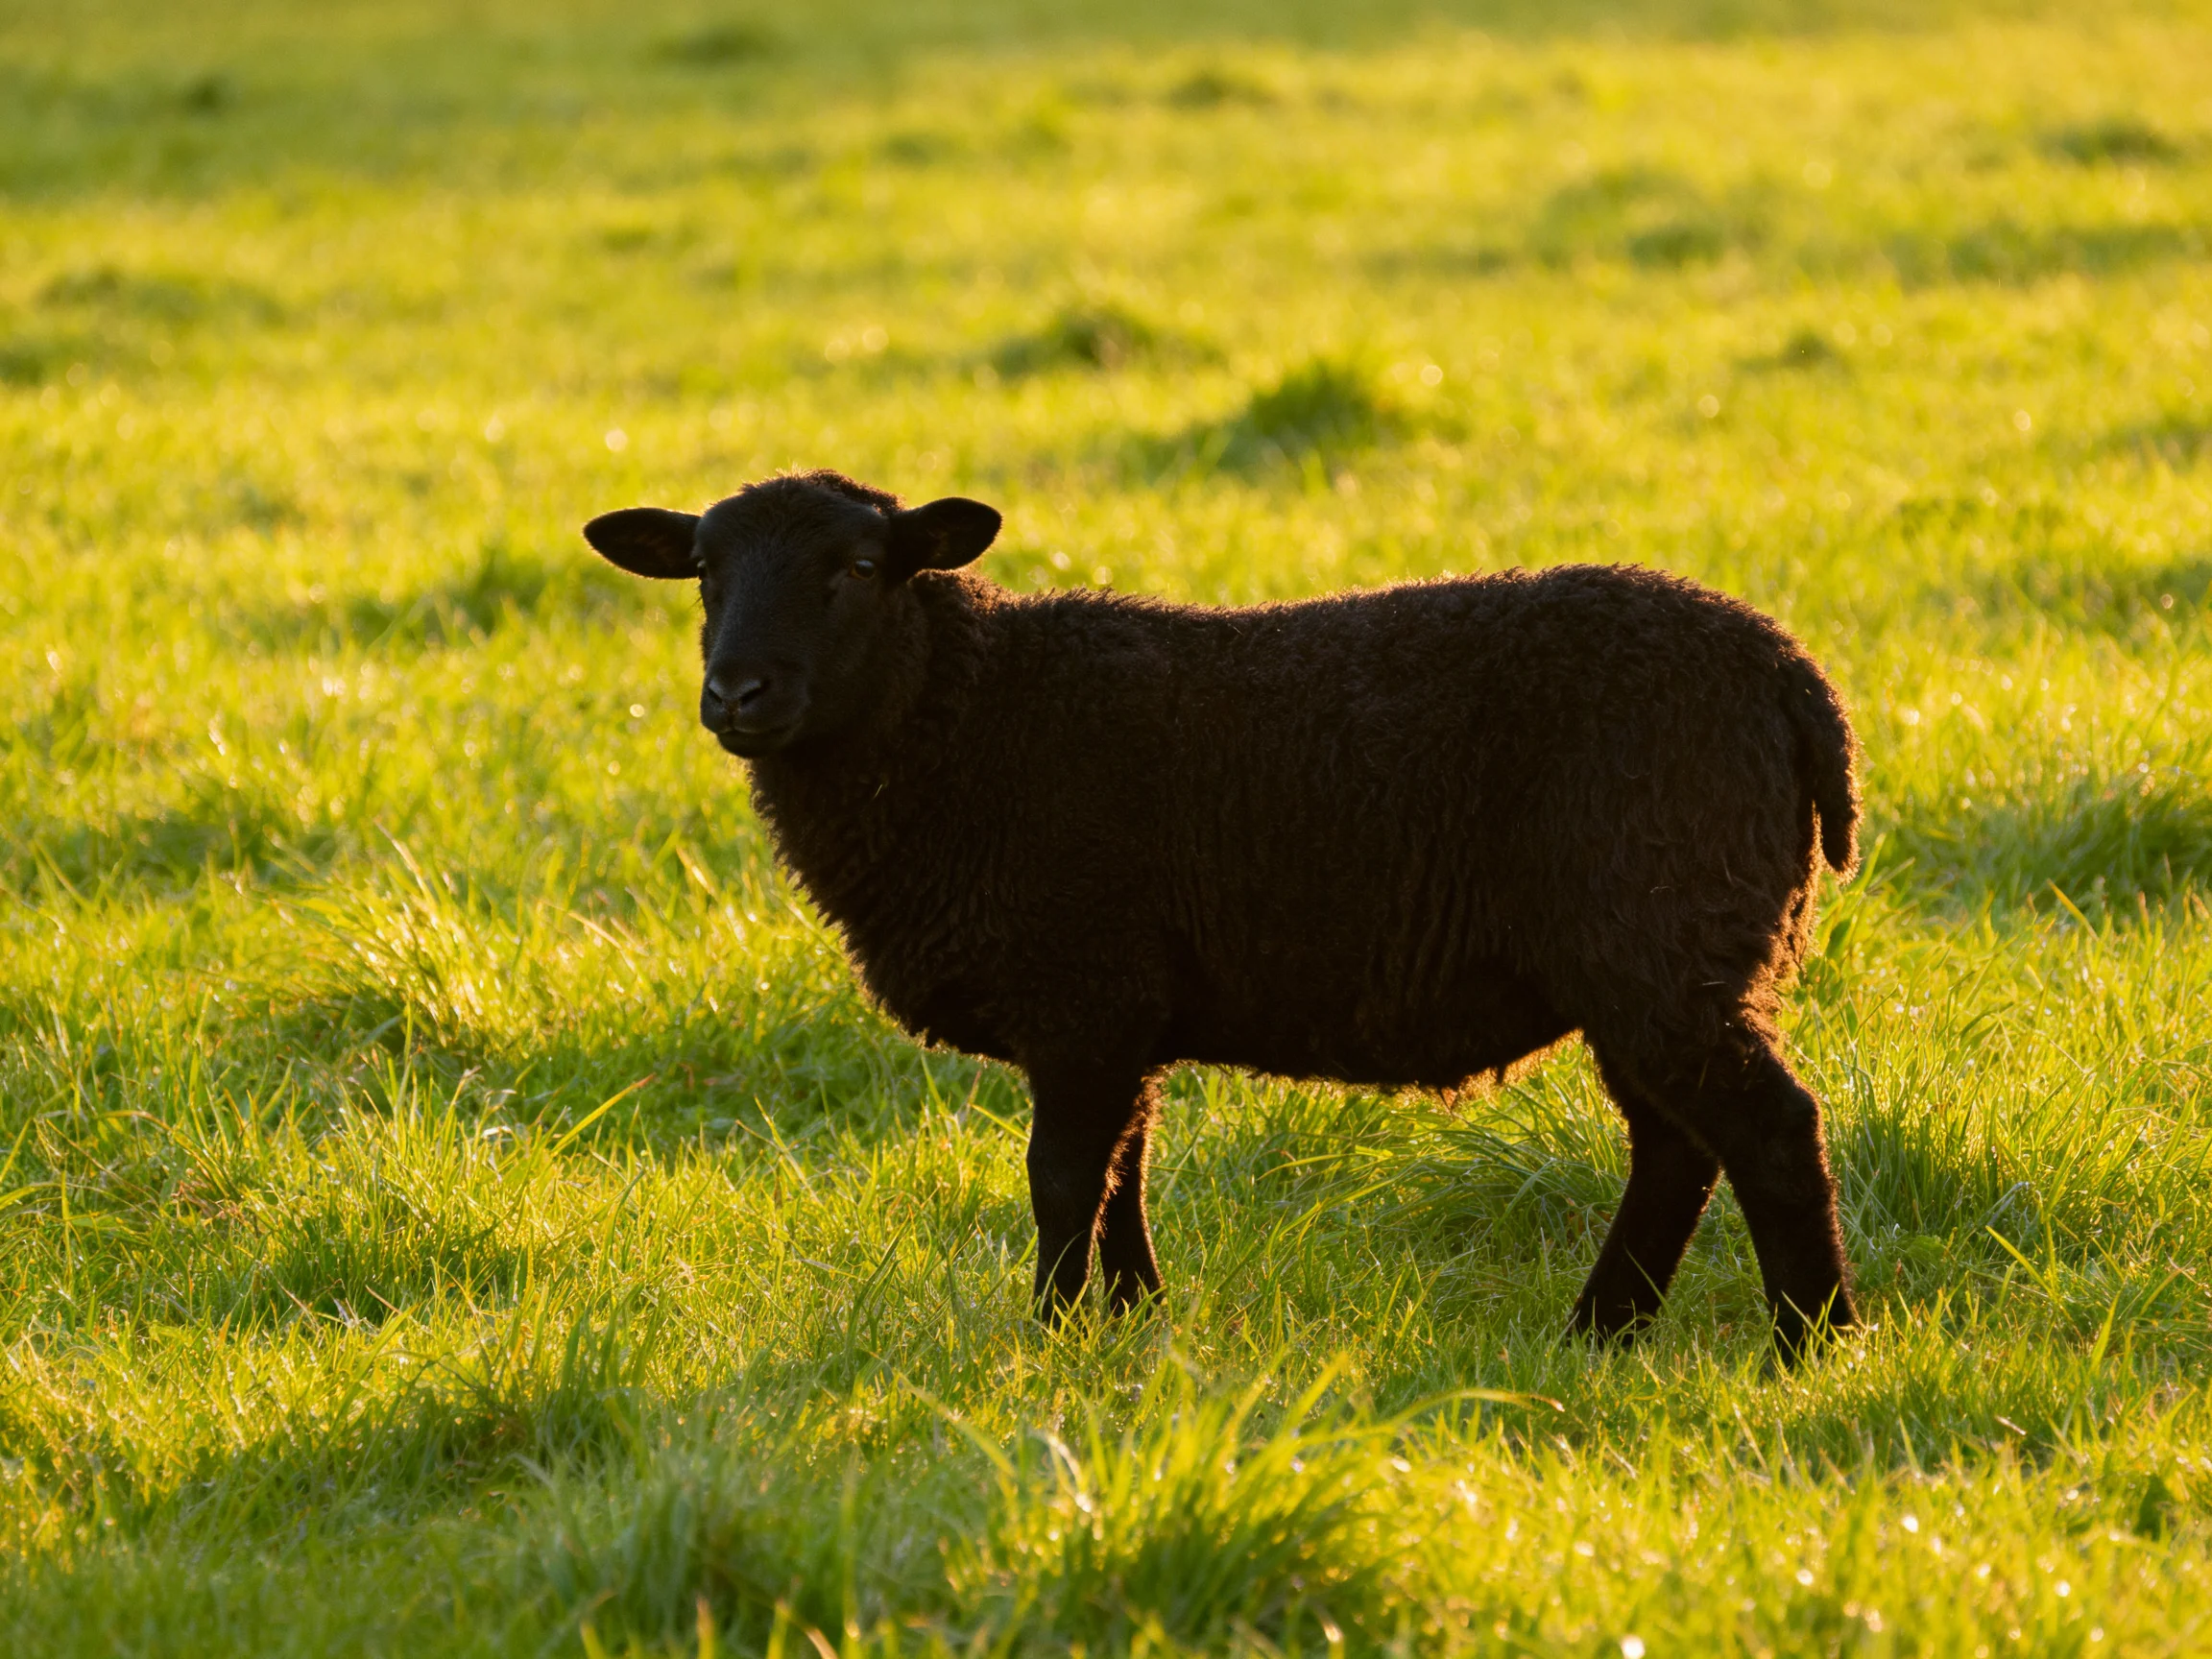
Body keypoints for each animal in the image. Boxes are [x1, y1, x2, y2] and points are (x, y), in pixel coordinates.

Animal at [584, 470, 1863, 1358]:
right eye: (703, 571)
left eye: (856, 567)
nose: (737, 692)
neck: (966, 714)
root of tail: (1792, 681)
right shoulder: (1122, 1009)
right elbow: (1124, 1175)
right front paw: (1133, 1323)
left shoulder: (1082, 990)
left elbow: (1063, 1179)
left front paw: (1050, 1341)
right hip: (1656, 960)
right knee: (1675, 1145)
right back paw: (1601, 1335)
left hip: (1662, 937)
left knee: (1768, 1128)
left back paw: (1812, 1348)